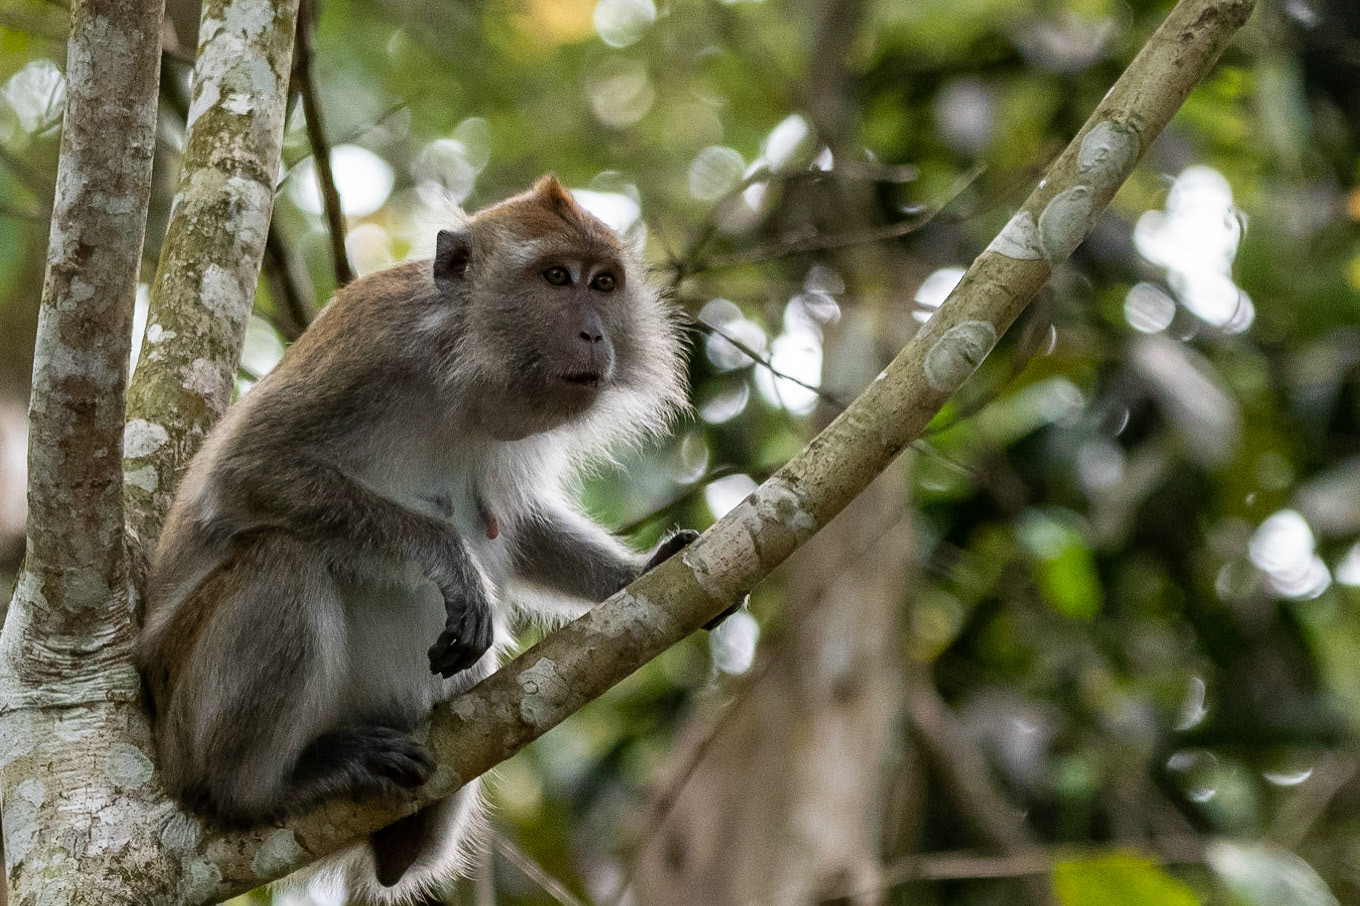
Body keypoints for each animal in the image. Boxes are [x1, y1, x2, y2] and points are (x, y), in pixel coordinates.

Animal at [136, 176, 697, 905]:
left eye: (604, 283)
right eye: (555, 277)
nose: (593, 332)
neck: (461, 364)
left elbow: (519, 529)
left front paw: (640, 572)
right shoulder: (374, 343)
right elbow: (246, 470)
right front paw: (447, 558)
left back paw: (403, 842)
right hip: (185, 719)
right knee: (282, 557)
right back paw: (257, 789)